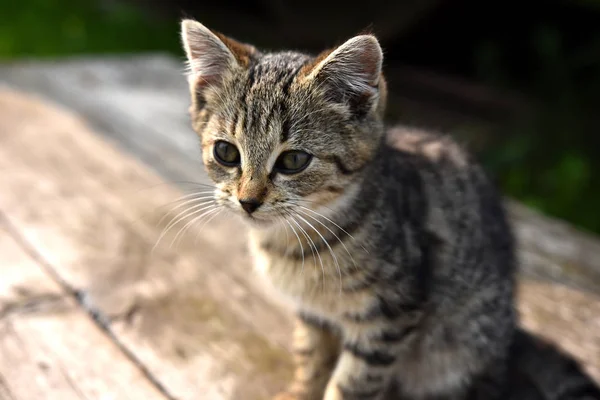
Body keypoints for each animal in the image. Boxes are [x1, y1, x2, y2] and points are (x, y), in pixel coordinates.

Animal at [179, 19, 600, 400]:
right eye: (226, 152)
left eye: (294, 161)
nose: (248, 201)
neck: (295, 240)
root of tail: (511, 332)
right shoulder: (313, 315)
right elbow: (312, 358)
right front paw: (301, 390)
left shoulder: (389, 315)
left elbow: (352, 383)